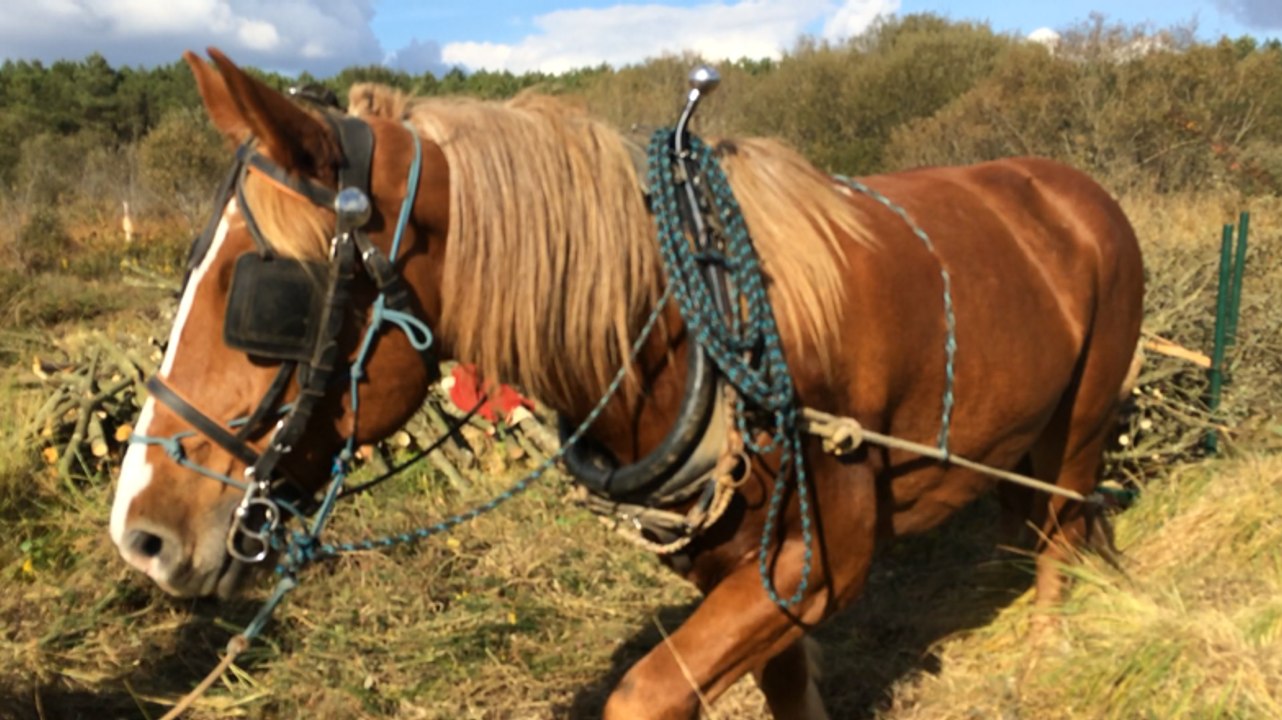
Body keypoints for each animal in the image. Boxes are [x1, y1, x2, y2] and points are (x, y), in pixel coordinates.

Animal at [109, 49, 1144, 719]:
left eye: (262, 295)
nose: (141, 534)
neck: (685, 325)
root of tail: (1077, 189)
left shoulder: (826, 557)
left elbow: (645, 694)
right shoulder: (739, 567)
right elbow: (778, 690)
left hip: (1084, 422)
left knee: (1061, 531)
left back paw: (1047, 657)